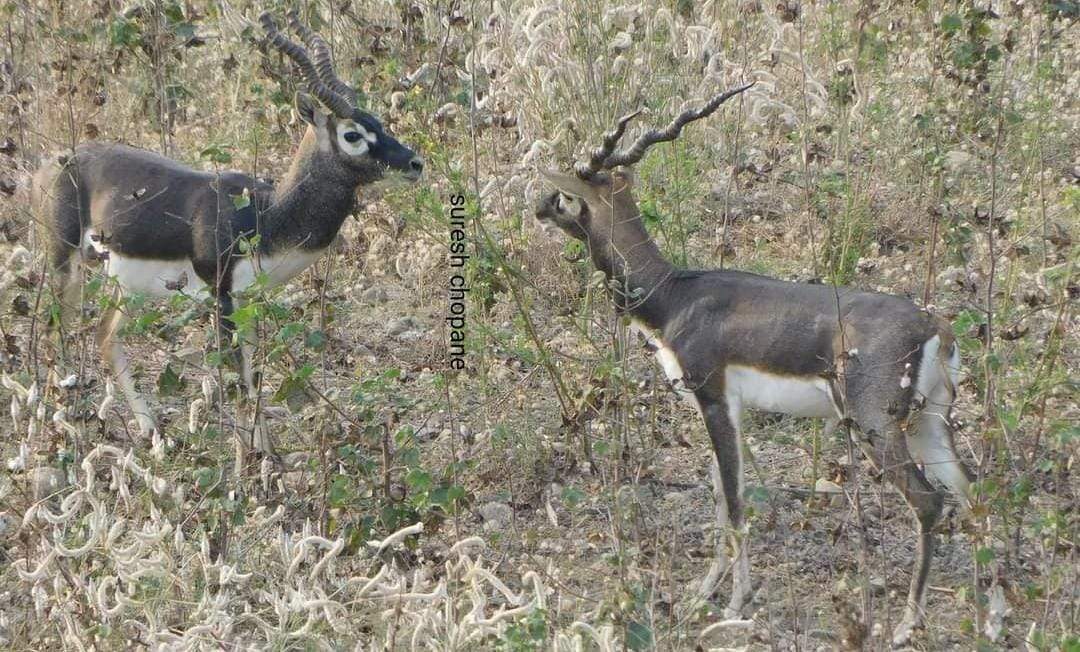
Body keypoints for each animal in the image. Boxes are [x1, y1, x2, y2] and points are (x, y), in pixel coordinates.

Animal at [33, 12, 421, 455]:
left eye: (377, 121)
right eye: (352, 134)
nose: (415, 163)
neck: (266, 213)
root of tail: (53, 161)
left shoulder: (249, 301)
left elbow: (253, 378)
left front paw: (266, 453)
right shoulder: (221, 297)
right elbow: (238, 382)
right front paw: (249, 464)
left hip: (125, 286)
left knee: (105, 336)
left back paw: (149, 431)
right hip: (65, 262)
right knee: (54, 332)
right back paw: (65, 426)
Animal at [535, 84, 976, 643]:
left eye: (569, 194)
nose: (539, 207)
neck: (675, 296)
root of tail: (936, 328)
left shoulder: (713, 400)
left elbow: (735, 500)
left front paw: (734, 601)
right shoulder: (731, 410)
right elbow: (723, 496)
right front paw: (703, 591)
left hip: (877, 426)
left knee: (930, 502)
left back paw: (904, 624)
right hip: (930, 424)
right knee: (972, 492)